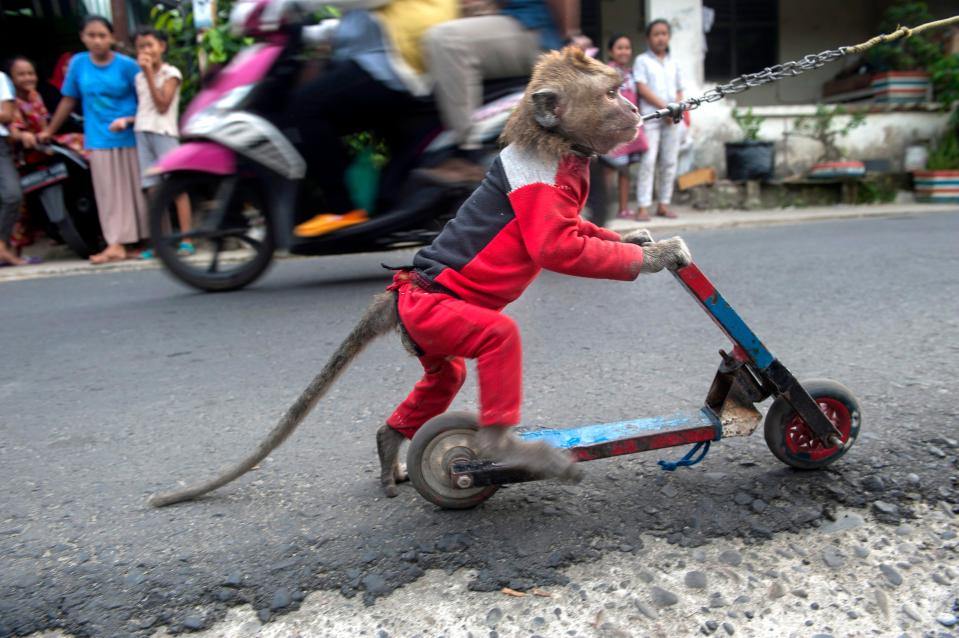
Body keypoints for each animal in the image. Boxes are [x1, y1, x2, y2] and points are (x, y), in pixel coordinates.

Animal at [148, 47, 688, 510]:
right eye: (611, 92)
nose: (635, 107)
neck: (557, 144)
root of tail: (402, 291)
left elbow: (583, 231)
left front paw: (635, 238)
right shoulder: (535, 183)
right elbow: (558, 246)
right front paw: (655, 255)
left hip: (427, 335)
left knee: (444, 375)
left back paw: (391, 442)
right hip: (437, 316)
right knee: (498, 341)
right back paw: (500, 447)